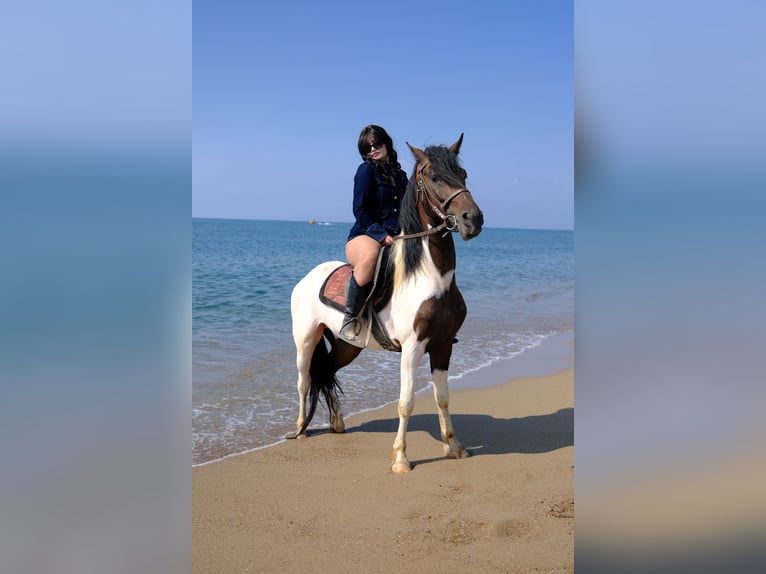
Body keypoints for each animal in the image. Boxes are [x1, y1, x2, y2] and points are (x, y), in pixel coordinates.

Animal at [288, 134, 483, 473]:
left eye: (464, 174)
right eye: (435, 177)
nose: (473, 219)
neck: (430, 278)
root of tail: (308, 278)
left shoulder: (443, 346)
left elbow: (443, 398)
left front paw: (454, 446)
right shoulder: (412, 347)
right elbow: (406, 403)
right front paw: (401, 459)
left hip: (347, 345)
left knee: (326, 371)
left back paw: (337, 422)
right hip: (305, 339)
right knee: (304, 380)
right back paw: (300, 429)